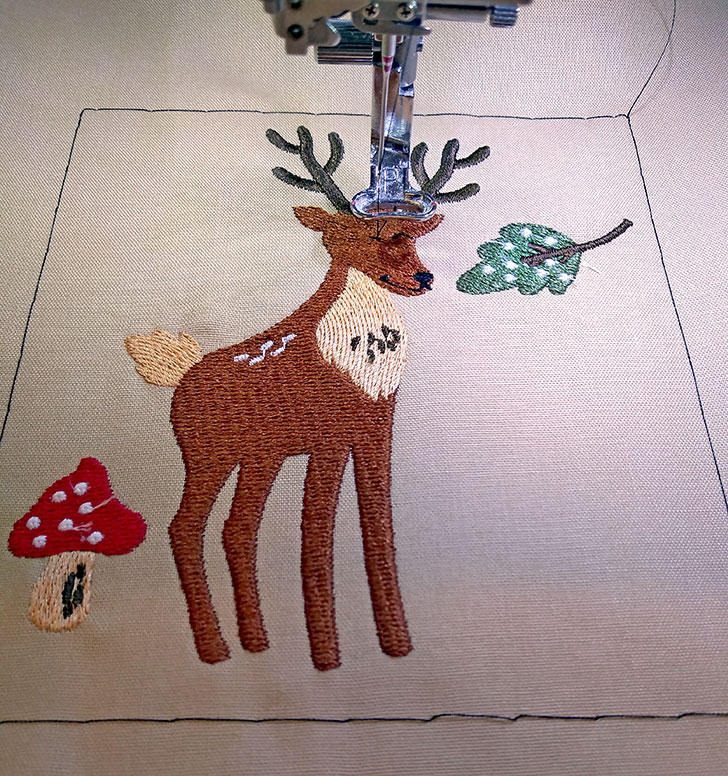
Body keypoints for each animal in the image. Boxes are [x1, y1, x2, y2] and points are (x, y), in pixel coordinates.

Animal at [125, 126, 489, 670]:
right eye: (364, 234)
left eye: (412, 235)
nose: (423, 278)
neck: (360, 360)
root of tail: (180, 373)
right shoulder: (330, 435)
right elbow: (316, 535)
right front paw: (326, 655)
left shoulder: (376, 427)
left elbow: (379, 527)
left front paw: (396, 642)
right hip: (209, 456)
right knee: (184, 527)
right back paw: (214, 648)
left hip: (261, 457)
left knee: (238, 529)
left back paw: (255, 641)